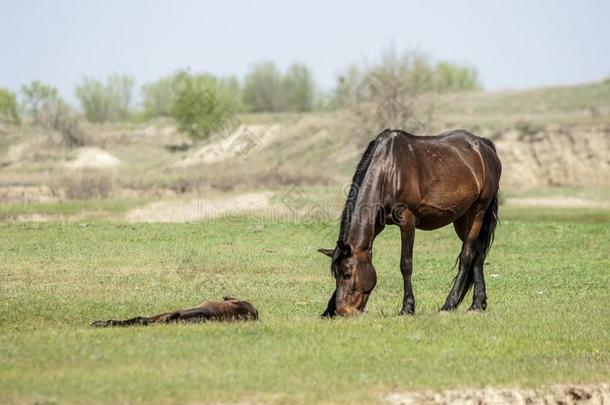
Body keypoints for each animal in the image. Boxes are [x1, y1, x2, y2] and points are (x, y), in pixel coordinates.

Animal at [318, 129, 498, 316]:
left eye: (347, 274)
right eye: (336, 275)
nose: (343, 311)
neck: (388, 171)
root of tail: (484, 146)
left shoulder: (407, 219)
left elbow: (406, 263)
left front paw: (407, 307)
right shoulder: (377, 224)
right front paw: (328, 310)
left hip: (478, 210)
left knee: (466, 256)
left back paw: (449, 304)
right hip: (462, 218)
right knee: (478, 254)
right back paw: (477, 304)